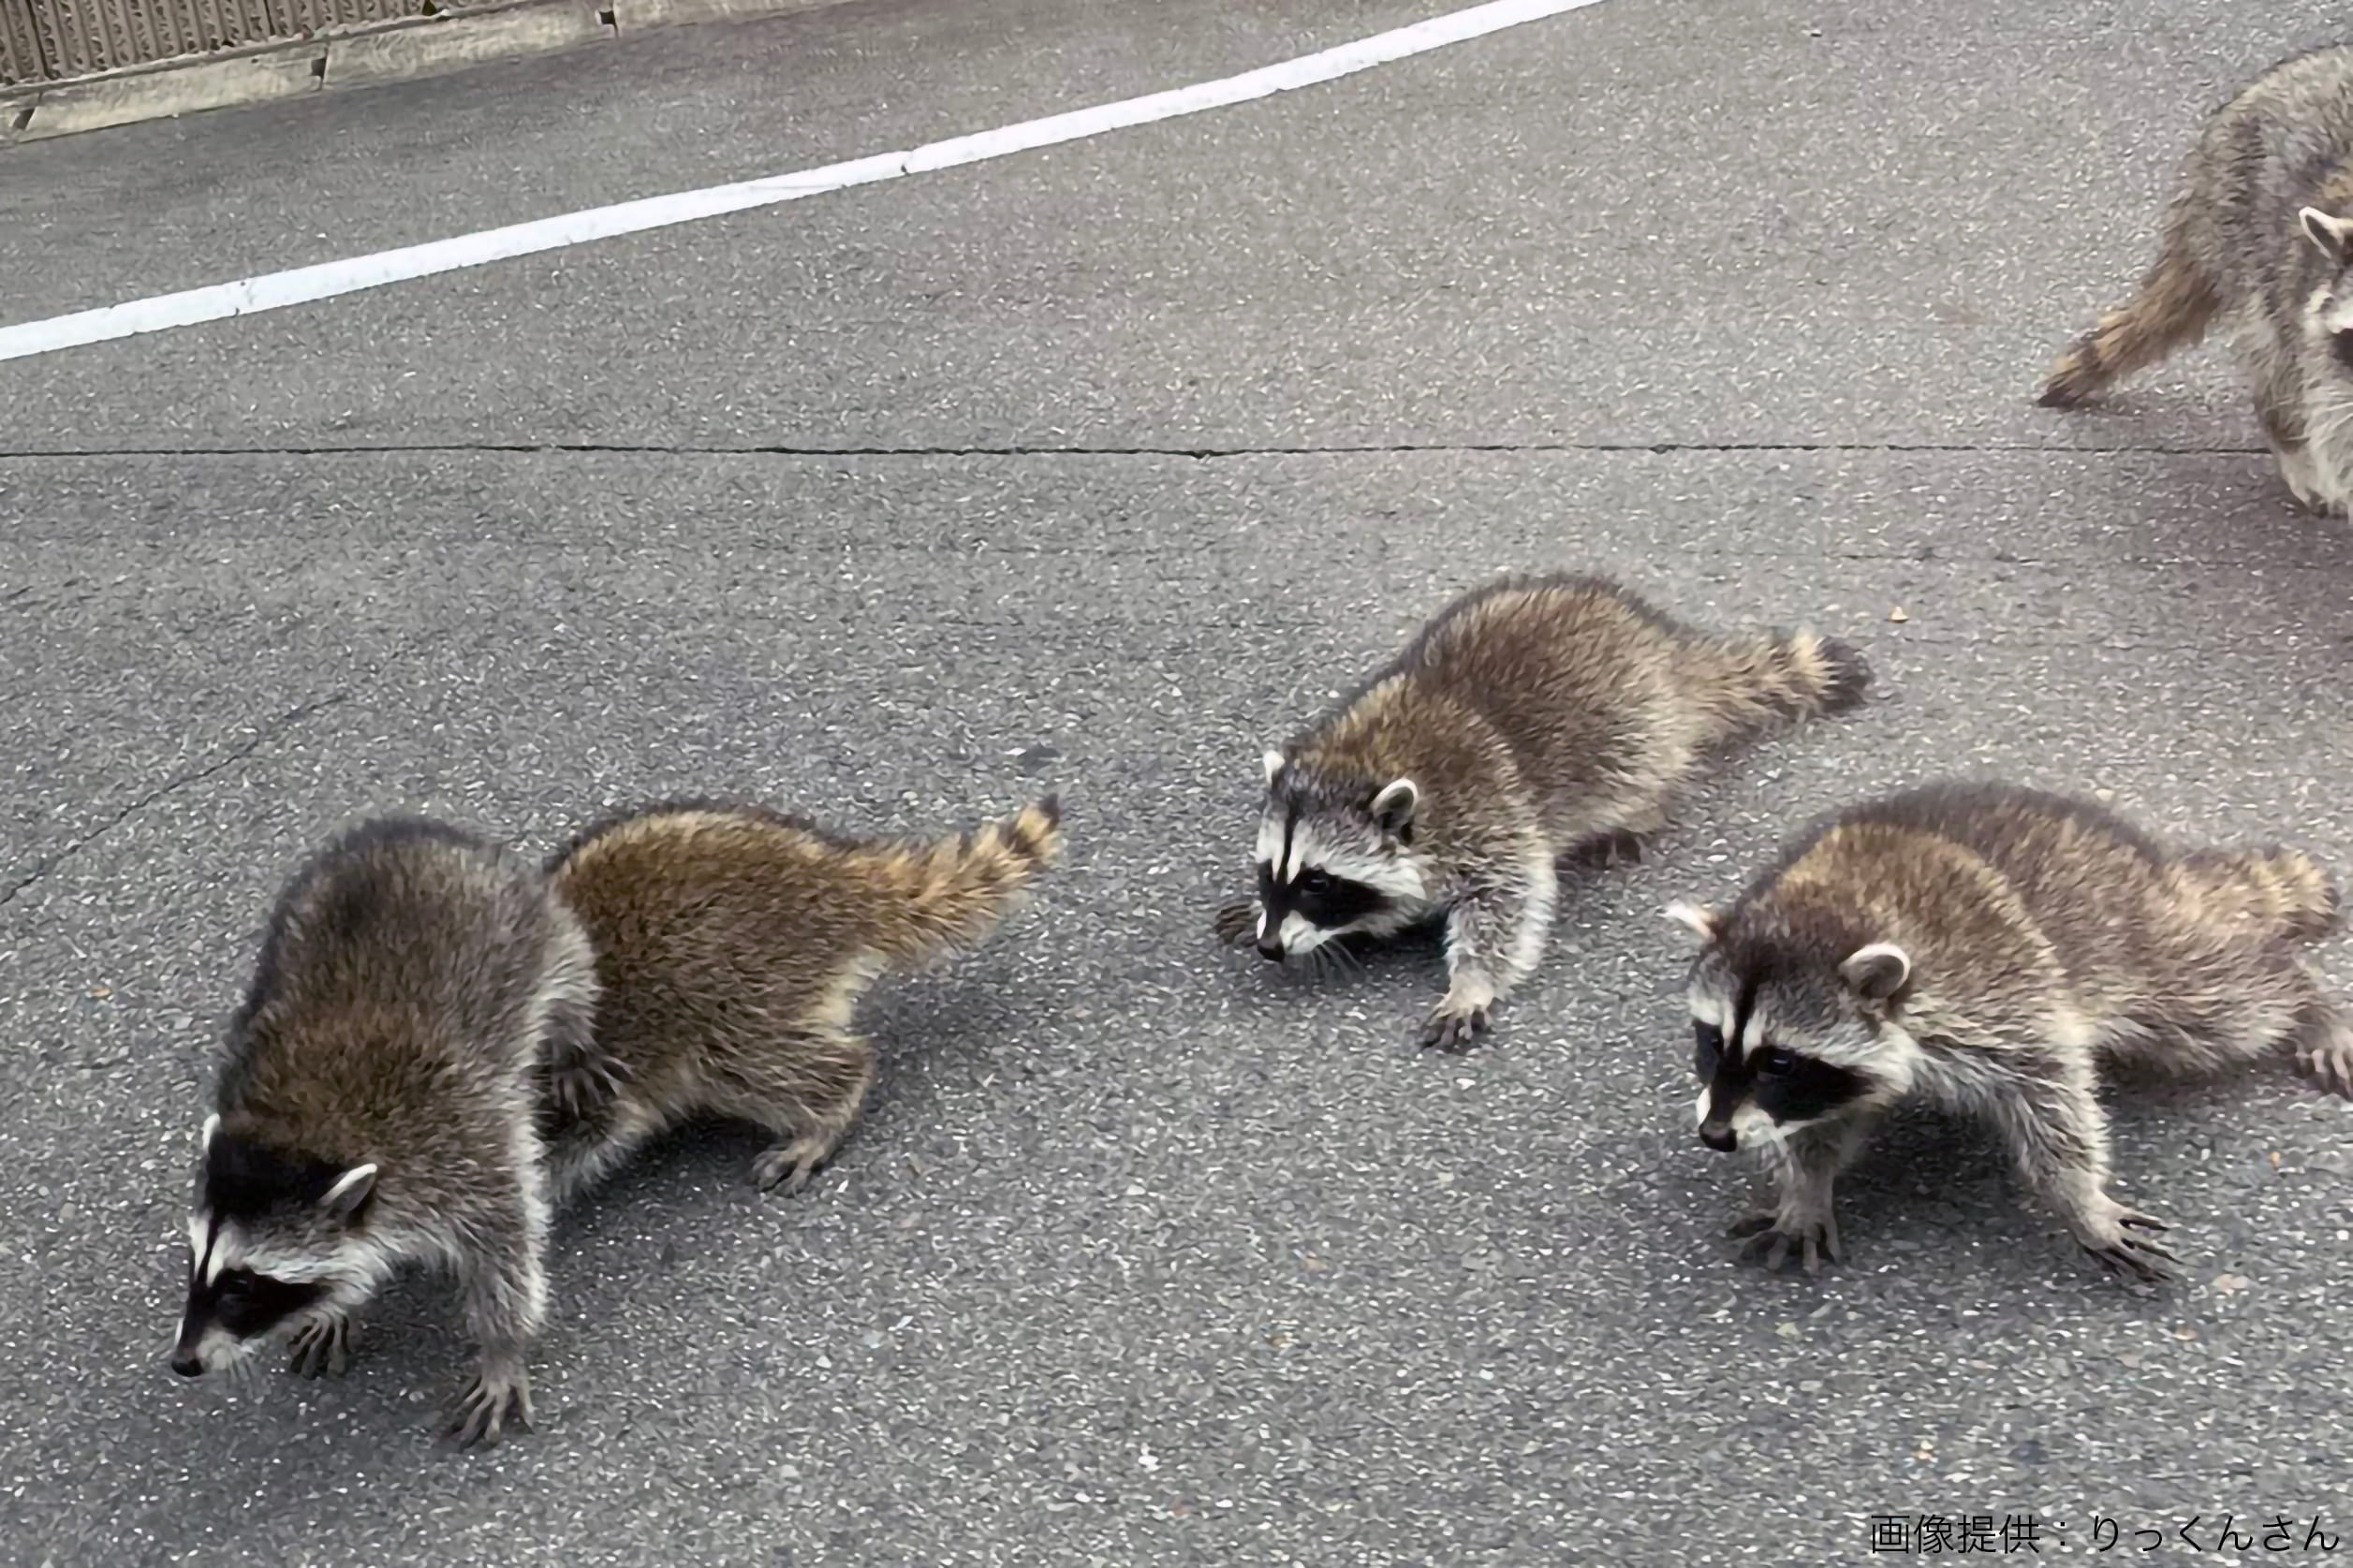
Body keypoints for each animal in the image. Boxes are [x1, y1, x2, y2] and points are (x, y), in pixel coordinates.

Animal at [171, 822, 602, 1447]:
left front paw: (502, 1346)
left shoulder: (463, 1145)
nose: (184, 1362)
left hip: (533, 934)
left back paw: (574, 1042)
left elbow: (506, 1246)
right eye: (195, 1261)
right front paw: (338, 1306)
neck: (298, 1133)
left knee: (573, 985)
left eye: (243, 1286)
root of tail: (404, 833)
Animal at [1213, 573, 1873, 1053]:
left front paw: (1471, 983)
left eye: (1319, 882)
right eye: (1269, 871)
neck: (1362, 757)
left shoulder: (1489, 818)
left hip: (1633, 733)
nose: (1269, 948)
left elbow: (1510, 900)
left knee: (1642, 773)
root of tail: (1663, 646)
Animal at [1666, 784, 2343, 1288]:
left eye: (1778, 1061)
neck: (1822, 910)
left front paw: (2078, 1198)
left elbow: (2053, 1093)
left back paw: (2303, 994)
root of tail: (2147, 861)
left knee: (2213, 1001)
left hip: (2122, 939)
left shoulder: (1997, 994)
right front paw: (1806, 1187)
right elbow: (1815, 1127)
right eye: (1712, 1040)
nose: (1715, 1135)